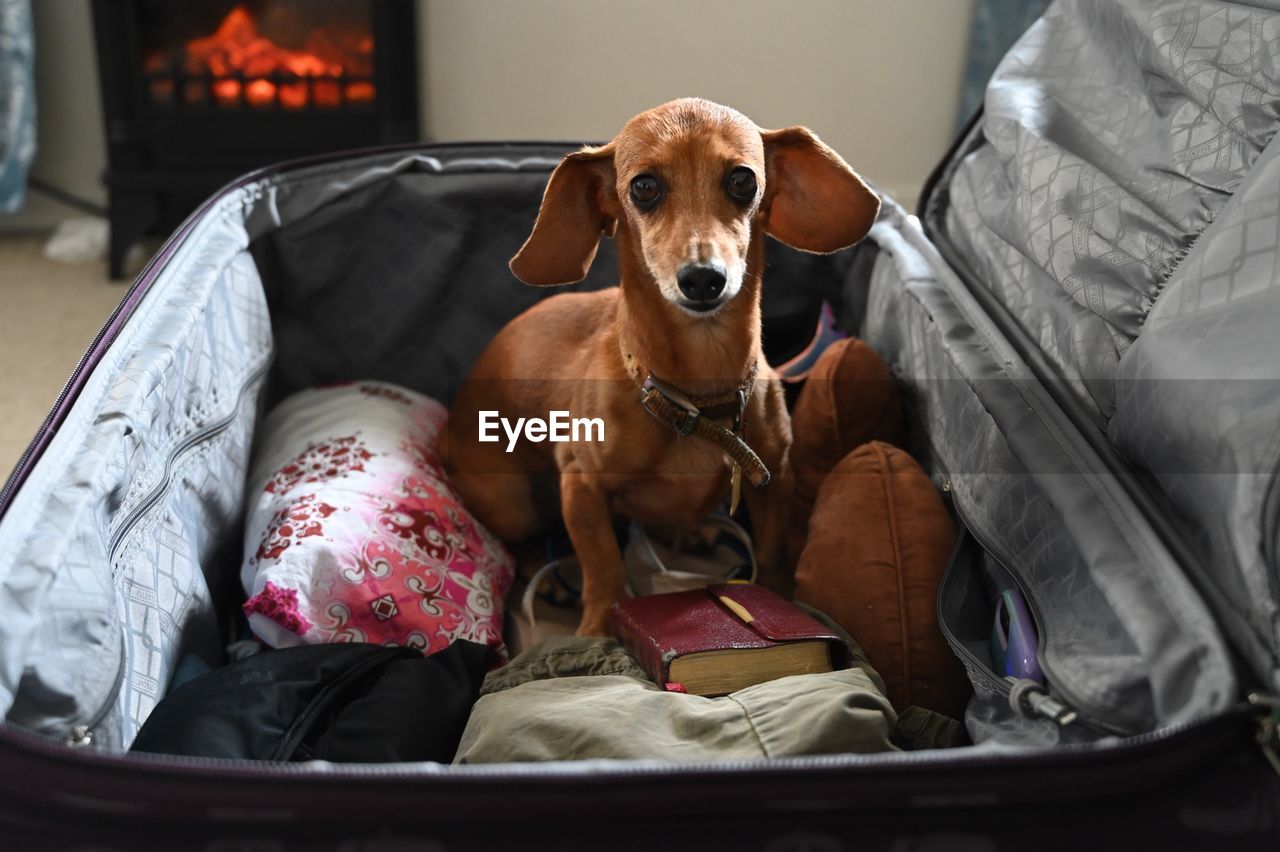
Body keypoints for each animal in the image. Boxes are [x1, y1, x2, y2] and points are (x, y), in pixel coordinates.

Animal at [442, 97, 880, 629]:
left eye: (743, 180)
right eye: (644, 187)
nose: (703, 279)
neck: (693, 398)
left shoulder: (774, 475)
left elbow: (773, 550)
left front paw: (778, 597)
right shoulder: (581, 487)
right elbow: (603, 564)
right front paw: (598, 625)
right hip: (511, 502)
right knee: (521, 541)